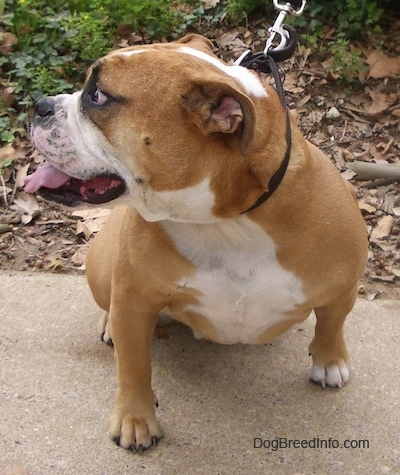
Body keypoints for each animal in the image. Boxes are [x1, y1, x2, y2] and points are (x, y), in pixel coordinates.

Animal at [25, 34, 368, 454]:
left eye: (98, 96)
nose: (40, 105)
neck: (227, 222)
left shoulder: (343, 286)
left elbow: (332, 323)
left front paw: (329, 361)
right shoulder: (134, 301)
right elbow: (134, 367)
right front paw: (135, 419)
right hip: (102, 267)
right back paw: (108, 323)